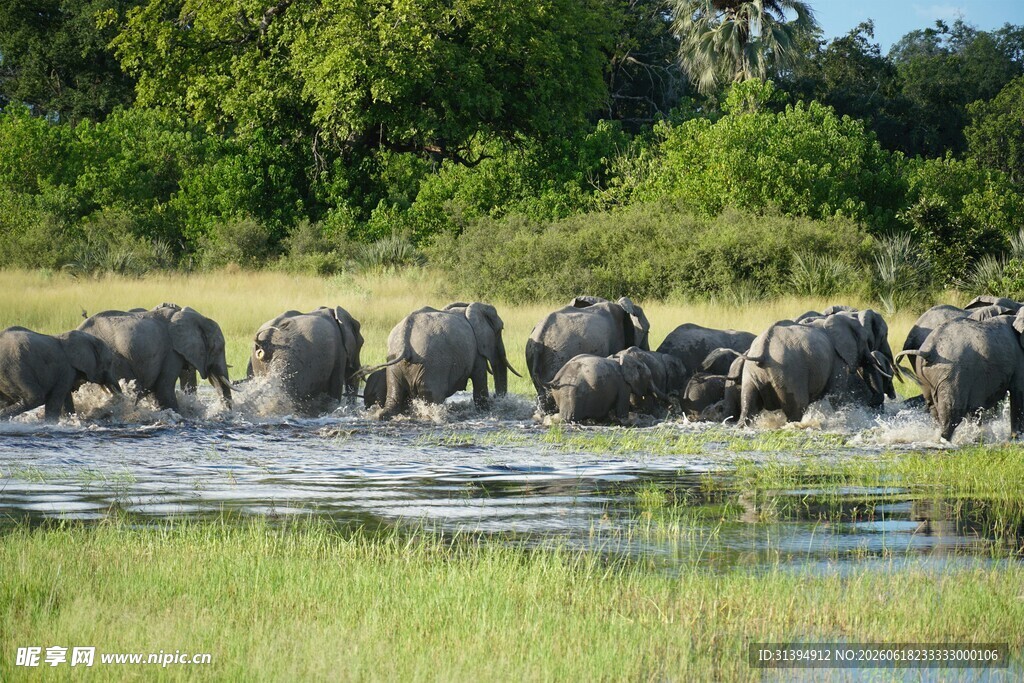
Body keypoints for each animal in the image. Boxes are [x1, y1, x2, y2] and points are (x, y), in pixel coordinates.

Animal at [372, 302, 518, 418]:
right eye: (500, 330)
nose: (497, 397)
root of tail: (405, 337)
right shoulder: (477, 351)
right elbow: (479, 383)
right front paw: (486, 410)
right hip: (432, 365)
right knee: (432, 399)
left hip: (395, 363)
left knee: (394, 396)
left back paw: (382, 415)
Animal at [739, 319, 892, 425]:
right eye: (867, 341)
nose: (872, 403)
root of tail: (763, 351)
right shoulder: (837, 359)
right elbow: (836, 395)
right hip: (788, 373)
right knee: (796, 410)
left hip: (752, 373)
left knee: (748, 407)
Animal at [896, 314, 1024, 441]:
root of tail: (929, 350)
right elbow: (1018, 393)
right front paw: (1017, 438)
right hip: (952, 373)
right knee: (953, 410)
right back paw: (945, 440)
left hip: (924, 374)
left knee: (932, 405)